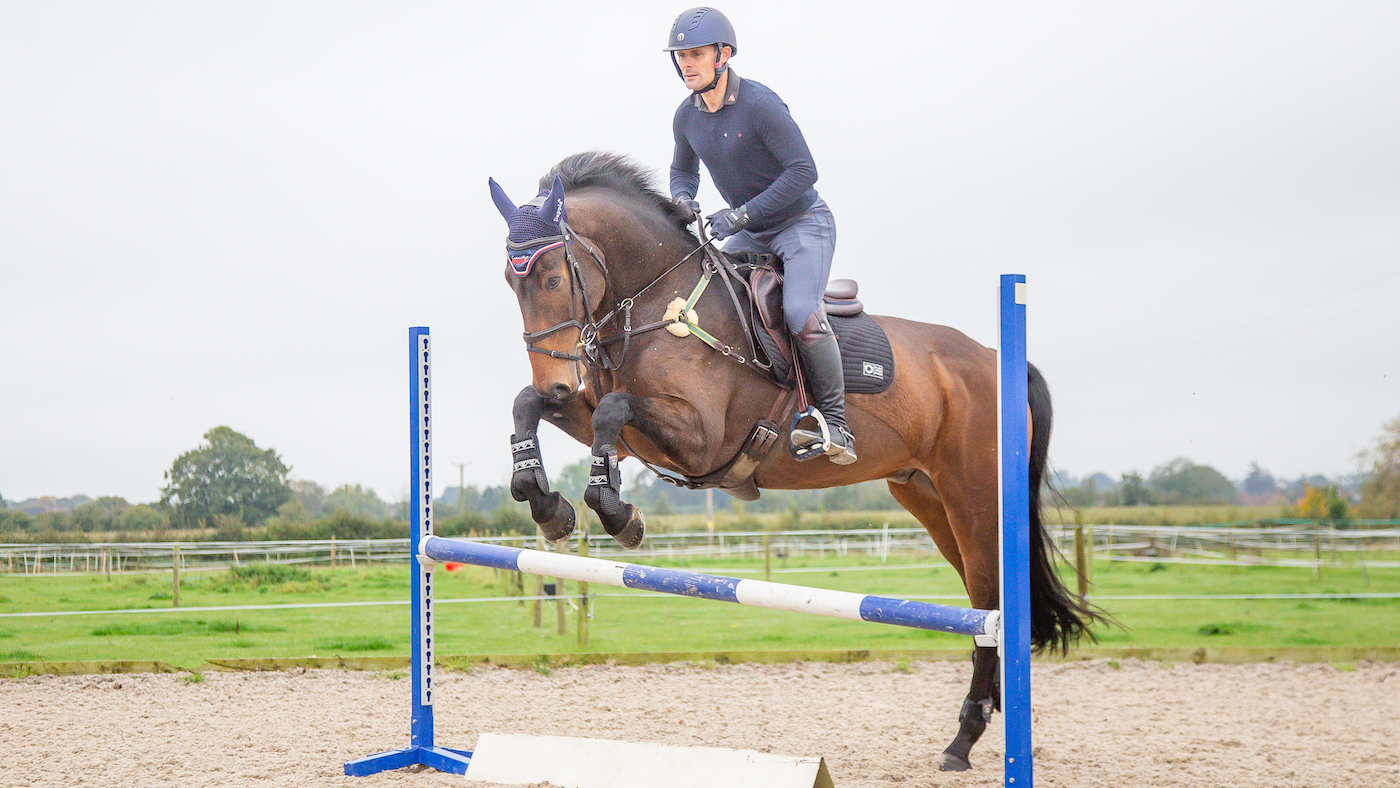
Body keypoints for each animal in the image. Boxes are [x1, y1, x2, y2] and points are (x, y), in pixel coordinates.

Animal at [487, 151, 1100, 771]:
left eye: (553, 277)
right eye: (510, 282)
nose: (559, 379)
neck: (659, 303)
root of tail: (998, 359)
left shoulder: (701, 438)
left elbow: (613, 411)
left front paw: (616, 511)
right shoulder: (606, 415)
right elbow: (531, 404)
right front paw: (548, 504)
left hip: (974, 500)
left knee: (990, 603)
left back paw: (963, 740)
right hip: (927, 498)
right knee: (986, 608)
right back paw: (983, 727)